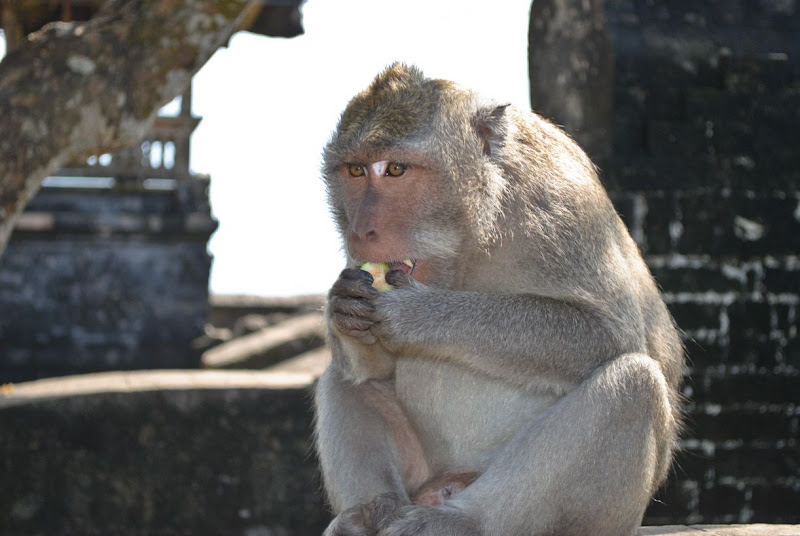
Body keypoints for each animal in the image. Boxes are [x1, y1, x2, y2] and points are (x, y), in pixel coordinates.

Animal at [312, 65, 680, 536]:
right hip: (422, 471)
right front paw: (343, 307)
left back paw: (460, 520)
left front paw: (417, 315)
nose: (361, 231)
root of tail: (448, 482)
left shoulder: (559, 204)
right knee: (346, 376)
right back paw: (371, 511)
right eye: (356, 171)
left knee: (633, 385)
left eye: (395, 169)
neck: (475, 234)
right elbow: (374, 368)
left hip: (602, 518)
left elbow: (609, 333)